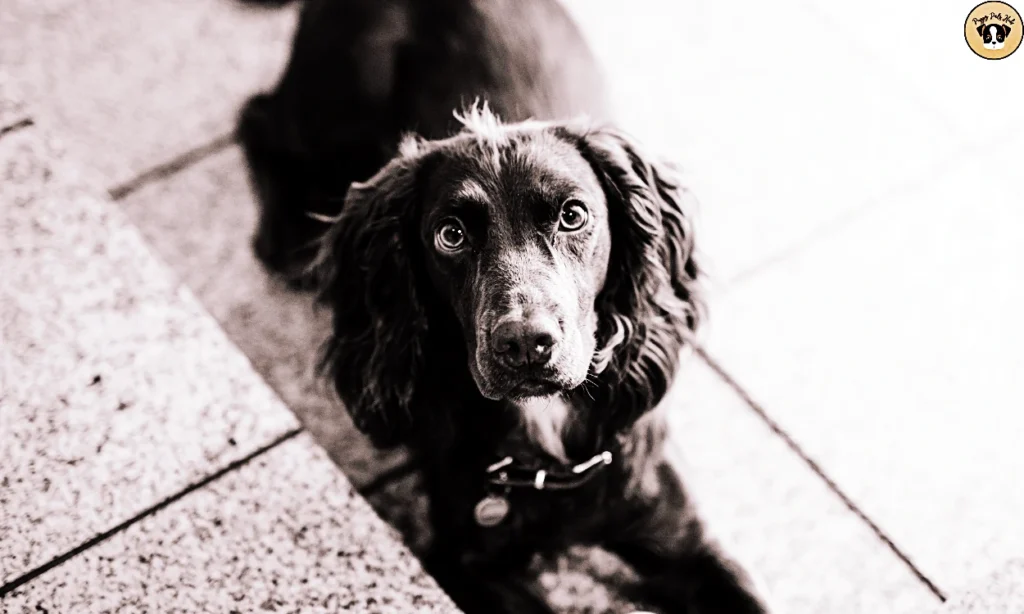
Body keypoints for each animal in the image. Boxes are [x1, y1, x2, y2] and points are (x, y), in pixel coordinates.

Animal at [237, 1, 770, 614]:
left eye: (573, 215)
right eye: (450, 235)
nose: (524, 344)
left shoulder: (685, 539)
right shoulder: (463, 559)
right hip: (335, 104)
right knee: (257, 117)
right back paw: (283, 235)